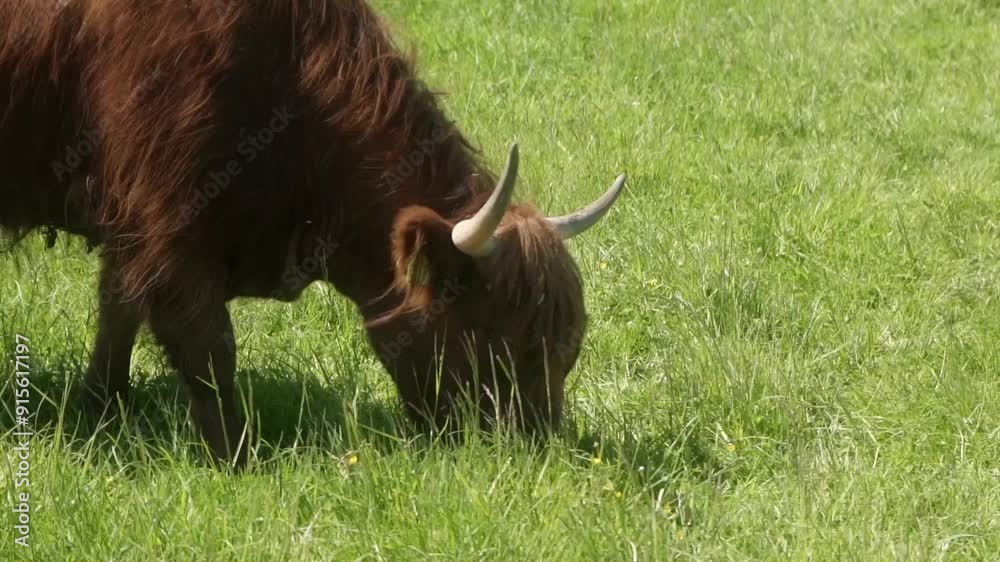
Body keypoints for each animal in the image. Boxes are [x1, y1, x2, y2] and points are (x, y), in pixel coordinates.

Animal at [0, 0, 626, 466]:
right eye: (498, 342)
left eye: (568, 347)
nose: (540, 456)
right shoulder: (169, 225)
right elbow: (209, 348)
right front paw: (237, 458)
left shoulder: (133, 225)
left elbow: (118, 311)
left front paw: (102, 407)